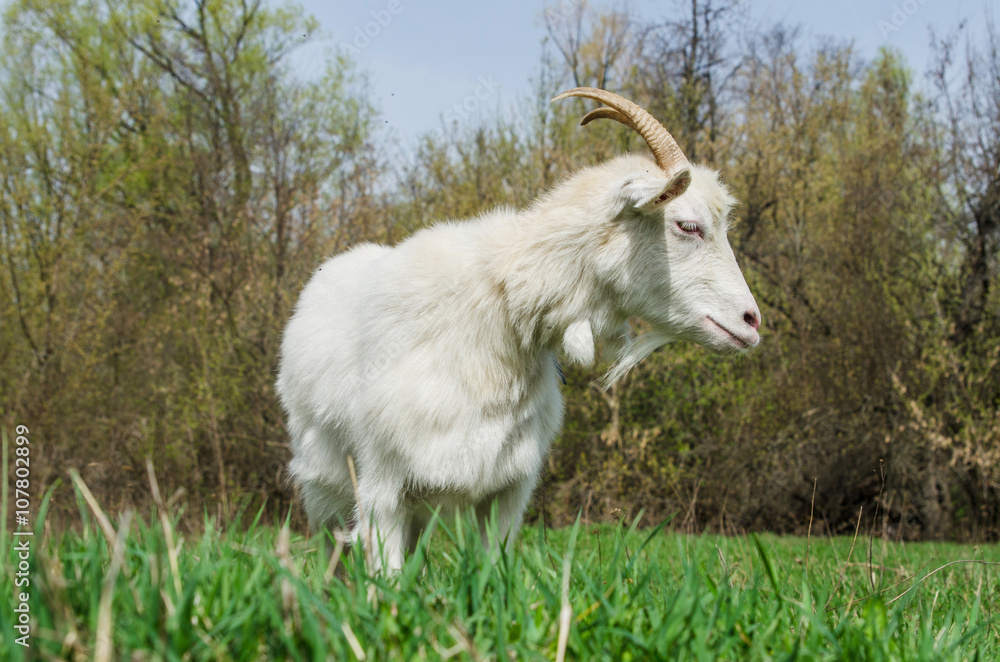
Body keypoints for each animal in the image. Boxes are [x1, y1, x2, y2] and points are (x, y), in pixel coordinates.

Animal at [276, 88, 761, 571]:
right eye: (688, 225)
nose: (752, 322)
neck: (501, 309)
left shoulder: (509, 487)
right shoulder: (383, 485)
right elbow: (388, 576)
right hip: (324, 488)